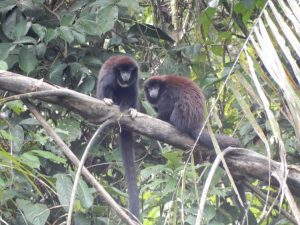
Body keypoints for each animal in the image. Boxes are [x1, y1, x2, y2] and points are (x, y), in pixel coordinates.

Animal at [96, 54, 140, 218]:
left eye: (129, 71)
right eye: (122, 71)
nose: (126, 75)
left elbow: (133, 92)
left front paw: (132, 109)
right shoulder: (110, 76)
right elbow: (105, 85)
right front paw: (106, 99)